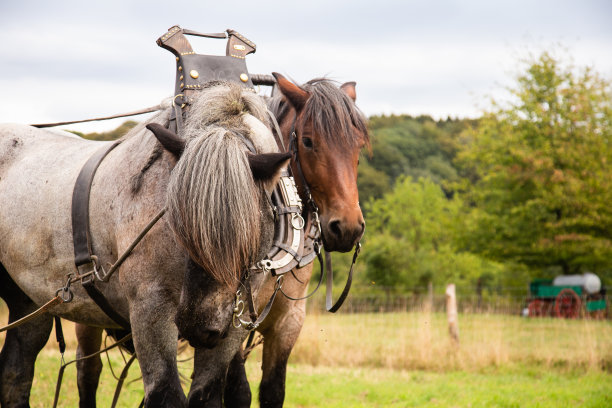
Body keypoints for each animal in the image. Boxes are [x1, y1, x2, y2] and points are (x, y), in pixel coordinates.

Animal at [0, 81, 290, 406]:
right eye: (176, 218)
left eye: (245, 228)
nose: (197, 326)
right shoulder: (150, 309)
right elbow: (166, 394)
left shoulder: (234, 327)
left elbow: (207, 394)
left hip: (27, 303)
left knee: (15, 374)